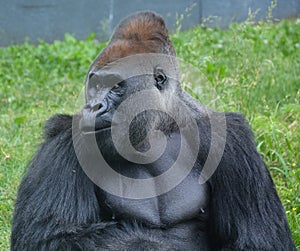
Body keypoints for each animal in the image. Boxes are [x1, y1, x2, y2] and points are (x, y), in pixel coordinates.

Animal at [11, 10, 296, 250]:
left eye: (115, 85)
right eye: (96, 85)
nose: (93, 106)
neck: (158, 128)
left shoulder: (232, 142)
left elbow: (258, 237)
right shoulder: (62, 140)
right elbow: (52, 237)